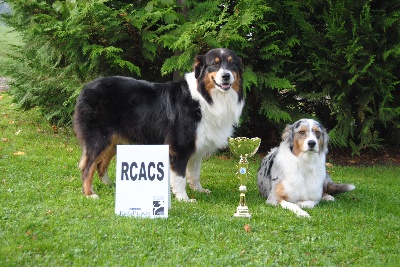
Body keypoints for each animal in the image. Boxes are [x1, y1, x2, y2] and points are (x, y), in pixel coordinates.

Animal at [73, 48, 245, 201]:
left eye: (232, 63)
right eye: (214, 64)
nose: (226, 76)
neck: (205, 97)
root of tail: (85, 88)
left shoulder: (197, 146)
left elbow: (194, 173)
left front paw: (199, 190)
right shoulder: (179, 147)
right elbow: (180, 177)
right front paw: (183, 198)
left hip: (114, 139)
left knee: (101, 164)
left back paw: (110, 185)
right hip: (99, 138)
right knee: (87, 166)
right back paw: (89, 194)